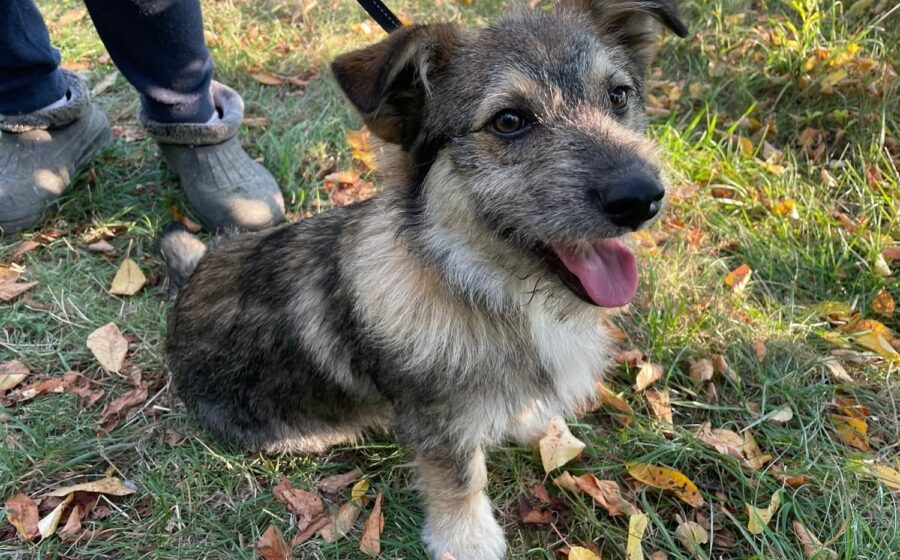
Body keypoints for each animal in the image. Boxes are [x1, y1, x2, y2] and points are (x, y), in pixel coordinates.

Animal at [160, 1, 687, 558]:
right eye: (509, 120)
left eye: (618, 95)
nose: (642, 197)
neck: (481, 286)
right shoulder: (437, 419)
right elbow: (460, 477)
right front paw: (467, 538)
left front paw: (531, 422)